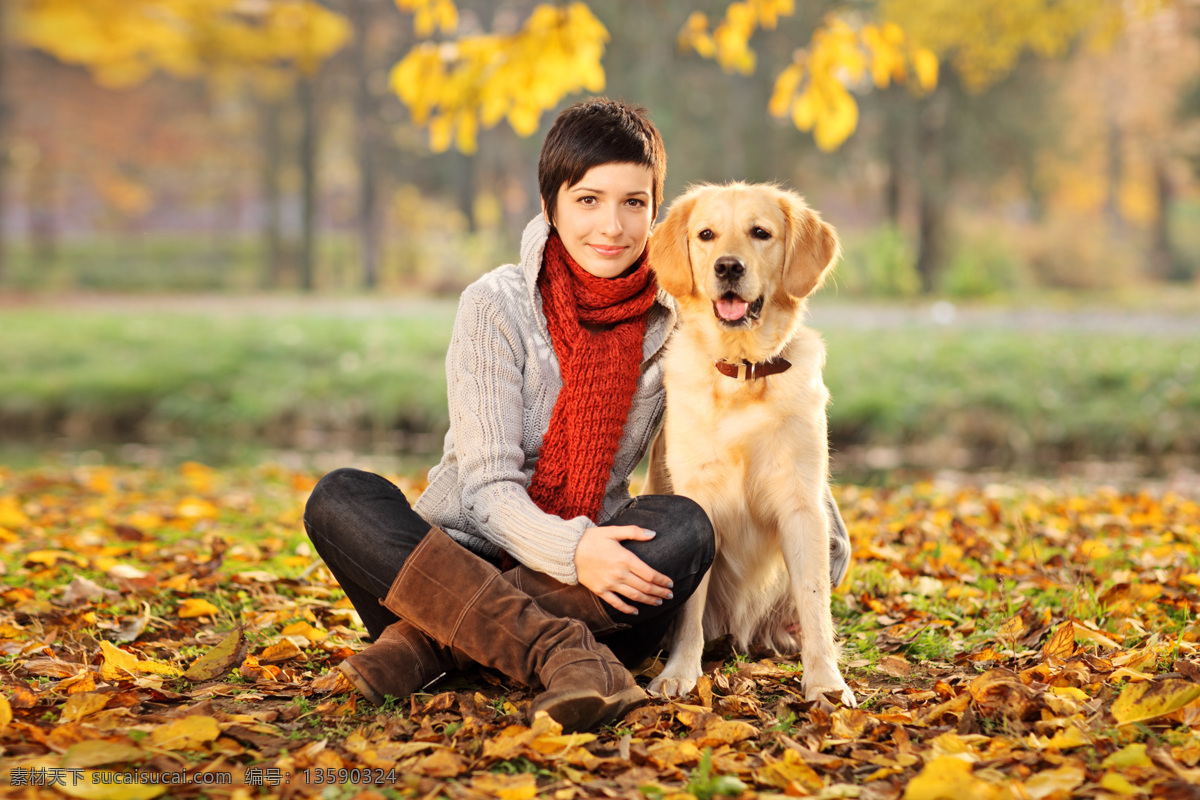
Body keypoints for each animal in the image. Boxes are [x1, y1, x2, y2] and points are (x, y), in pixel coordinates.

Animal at [643, 183, 859, 705]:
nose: (728, 267)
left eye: (760, 233)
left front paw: (825, 681)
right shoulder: (697, 498)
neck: (742, 373)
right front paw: (679, 672)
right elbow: (690, 610)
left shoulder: (803, 503)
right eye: (706, 235)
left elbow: (815, 603)